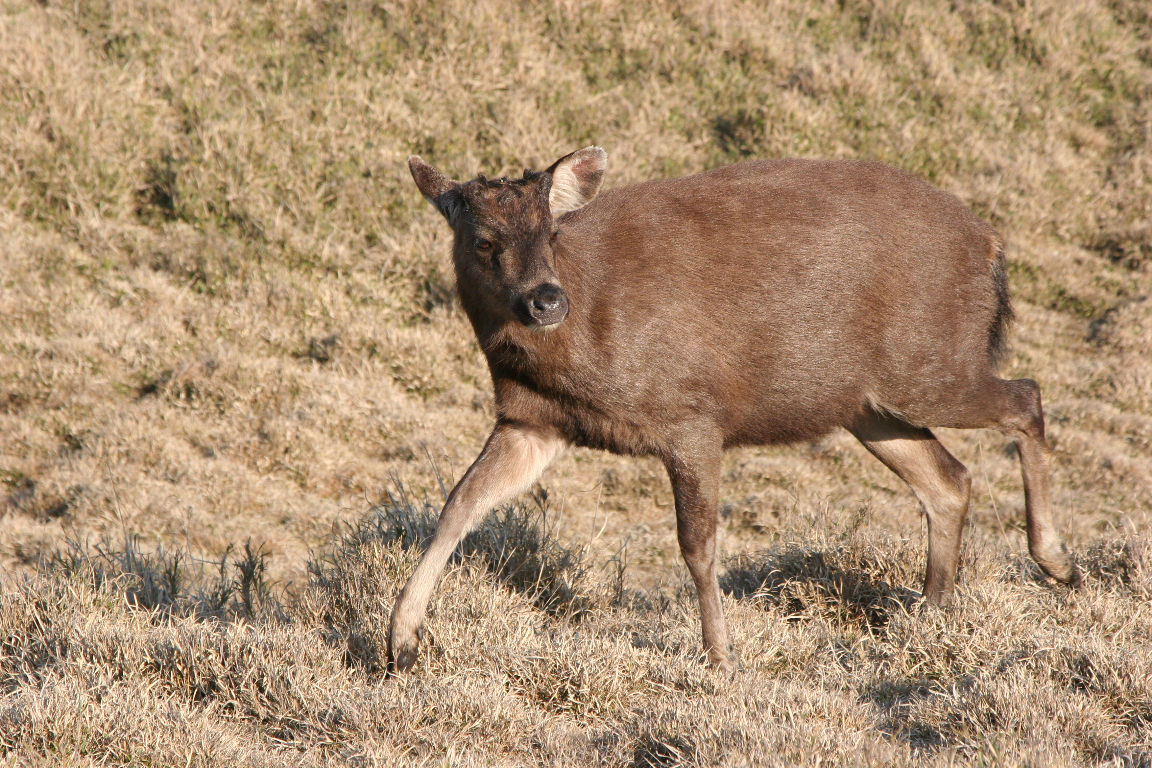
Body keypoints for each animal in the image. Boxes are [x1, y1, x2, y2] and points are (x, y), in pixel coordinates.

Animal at [387, 147, 1080, 673]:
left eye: (551, 233)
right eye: (483, 240)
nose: (545, 300)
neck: (571, 352)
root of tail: (991, 245)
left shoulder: (691, 413)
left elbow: (698, 544)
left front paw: (721, 656)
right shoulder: (531, 420)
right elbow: (459, 505)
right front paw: (401, 641)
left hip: (929, 361)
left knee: (1027, 396)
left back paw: (1055, 561)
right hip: (869, 403)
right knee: (949, 478)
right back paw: (931, 611)